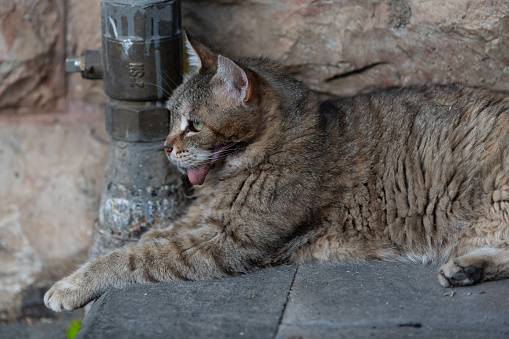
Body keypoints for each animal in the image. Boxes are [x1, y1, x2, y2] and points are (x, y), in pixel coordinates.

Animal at [43, 35, 508, 314]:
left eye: (194, 124)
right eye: (172, 116)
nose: (165, 146)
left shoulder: (224, 241)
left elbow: (131, 257)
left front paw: (71, 284)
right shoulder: (200, 222)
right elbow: (148, 236)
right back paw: (466, 268)